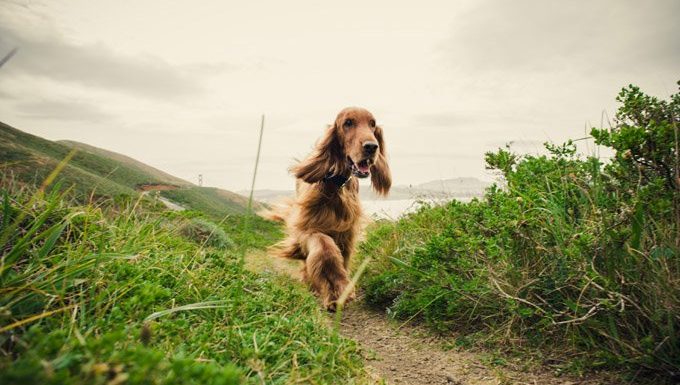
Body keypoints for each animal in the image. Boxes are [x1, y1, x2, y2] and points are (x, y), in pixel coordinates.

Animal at [266, 106, 394, 310]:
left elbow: (343, 257)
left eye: (372, 124)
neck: (336, 186)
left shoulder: (347, 233)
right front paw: (336, 290)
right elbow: (325, 250)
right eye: (348, 123)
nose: (371, 147)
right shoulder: (307, 228)